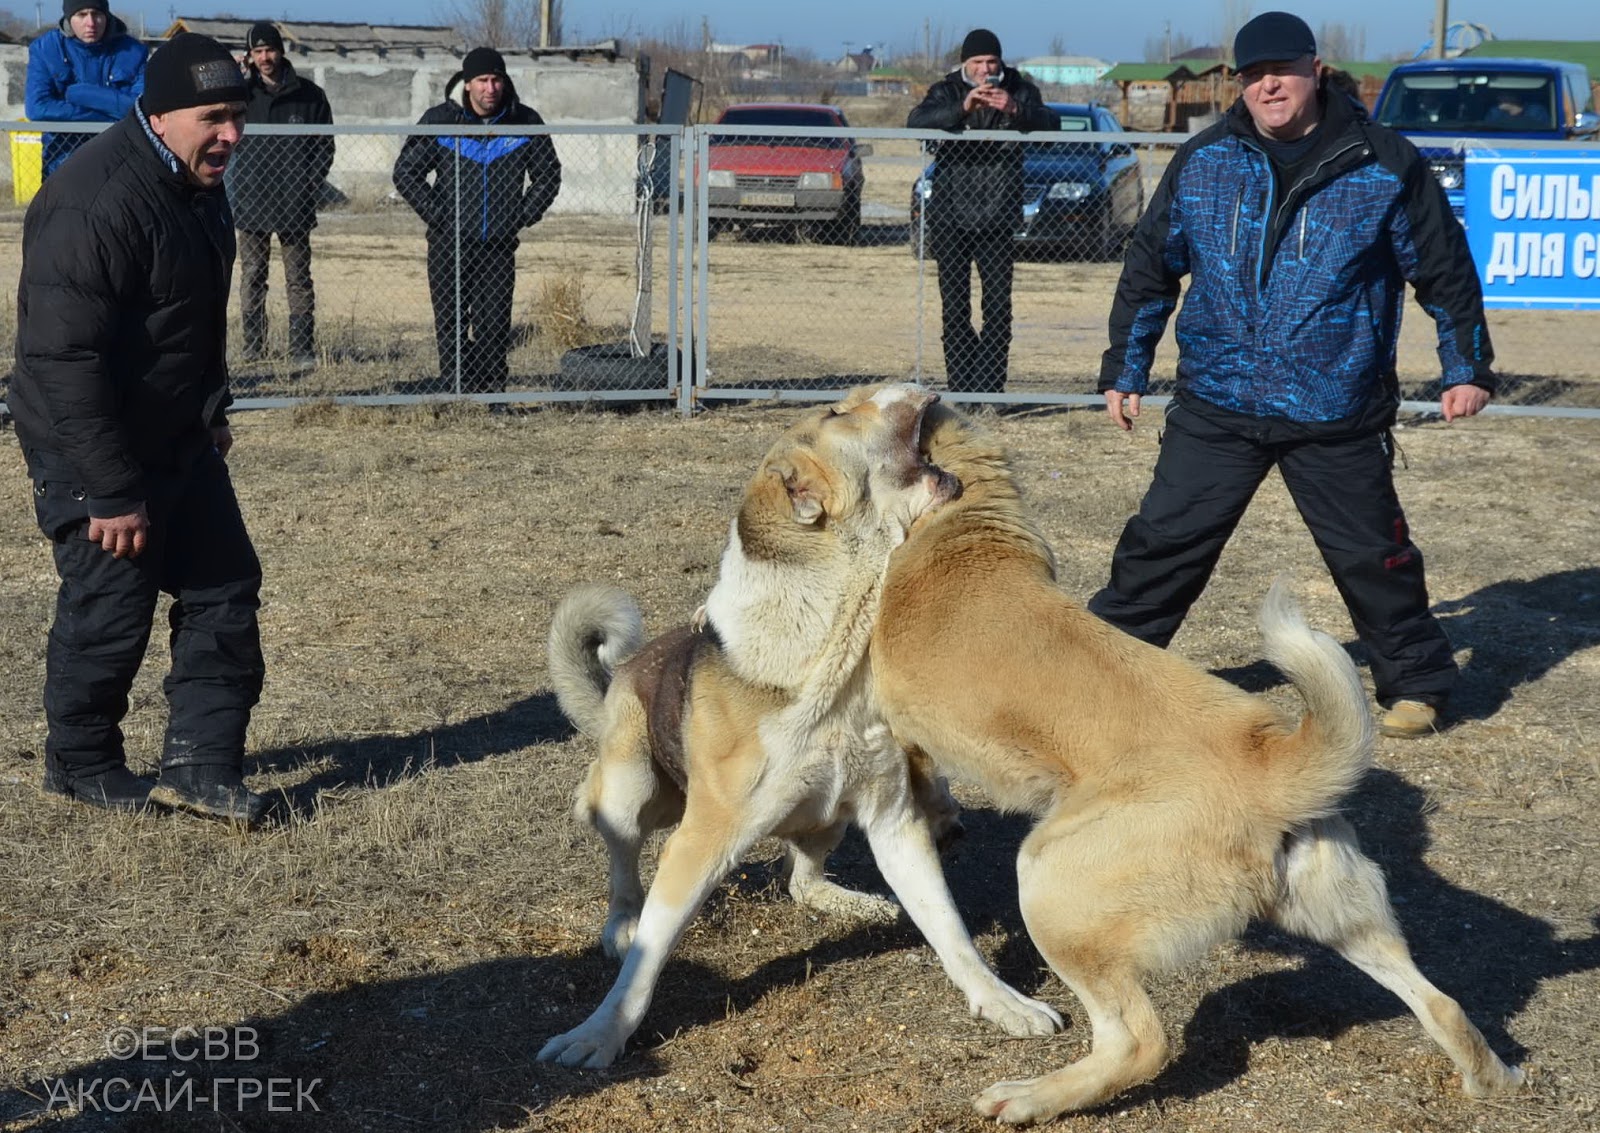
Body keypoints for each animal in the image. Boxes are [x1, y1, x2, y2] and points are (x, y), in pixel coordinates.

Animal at [538, 384, 1061, 1070]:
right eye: (837, 413)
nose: (906, 385)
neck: (834, 653)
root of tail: (626, 668)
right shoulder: (698, 844)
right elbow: (645, 965)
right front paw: (600, 1034)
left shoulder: (894, 822)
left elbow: (950, 929)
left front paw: (1003, 1003)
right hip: (632, 793)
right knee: (623, 863)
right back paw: (619, 925)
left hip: (827, 816)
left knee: (802, 881)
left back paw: (853, 901)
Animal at [851, 402, 1526, 1123]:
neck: (971, 518)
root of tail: (1271, 771)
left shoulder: (906, 726)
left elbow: (926, 779)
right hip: (1346, 920)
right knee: (1444, 1003)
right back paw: (1494, 1078)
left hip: (1051, 889)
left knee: (1138, 1042)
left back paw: (1030, 1097)